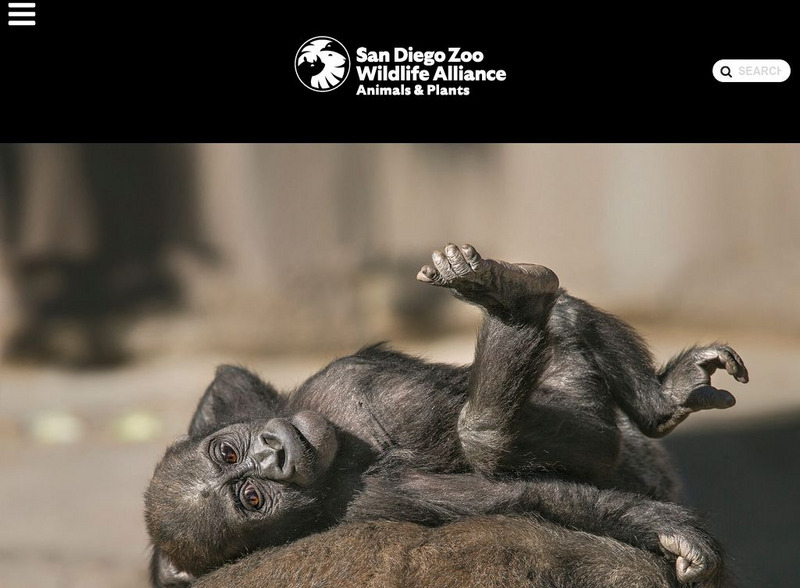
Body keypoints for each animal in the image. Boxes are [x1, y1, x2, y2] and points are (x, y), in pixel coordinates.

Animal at [146, 243, 747, 586]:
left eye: (228, 452)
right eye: (252, 499)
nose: (274, 455)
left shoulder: (262, 406)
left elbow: (229, 380)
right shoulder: (373, 500)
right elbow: (528, 498)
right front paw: (669, 531)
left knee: (565, 318)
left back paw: (659, 396)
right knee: (487, 435)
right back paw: (519, 306)